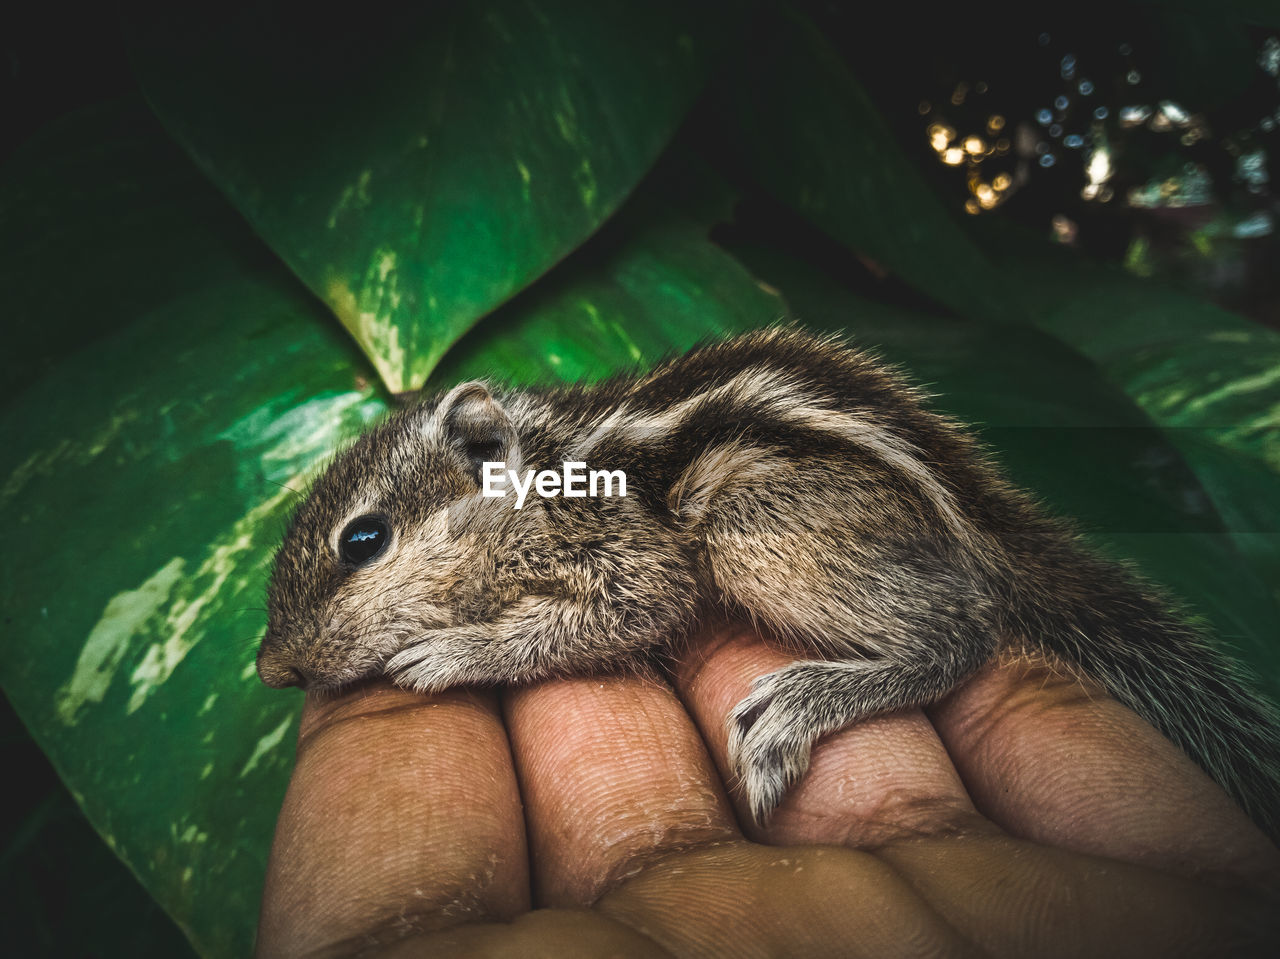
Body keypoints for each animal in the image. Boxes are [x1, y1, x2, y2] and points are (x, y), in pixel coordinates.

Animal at [259, 325, 1280, 834]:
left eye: (363, 539)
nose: (270, 667)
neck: (545, 476)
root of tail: (981, 527)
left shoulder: (628, 550)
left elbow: (634, 607)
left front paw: (449, 650)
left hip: (754, 527)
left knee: (966, 629)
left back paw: (807, 700)